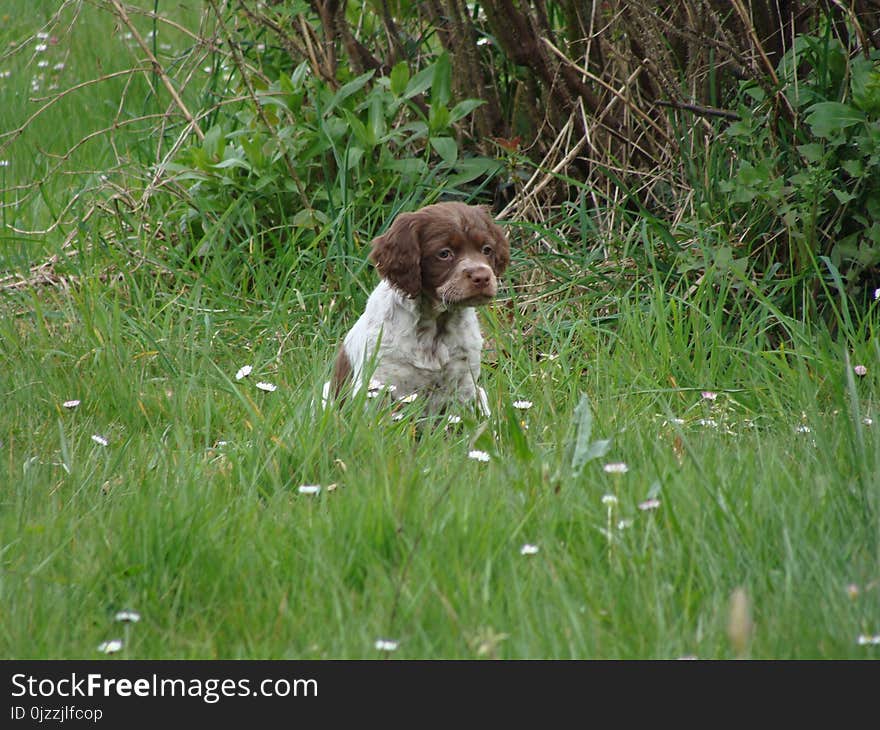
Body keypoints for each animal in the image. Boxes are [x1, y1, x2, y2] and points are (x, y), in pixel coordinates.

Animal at [326, 202, 512, 412]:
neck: (436, 322)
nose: (482, 277)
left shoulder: (465, 382)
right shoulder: (378, 381)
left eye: (487, 249)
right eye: (444, 253)